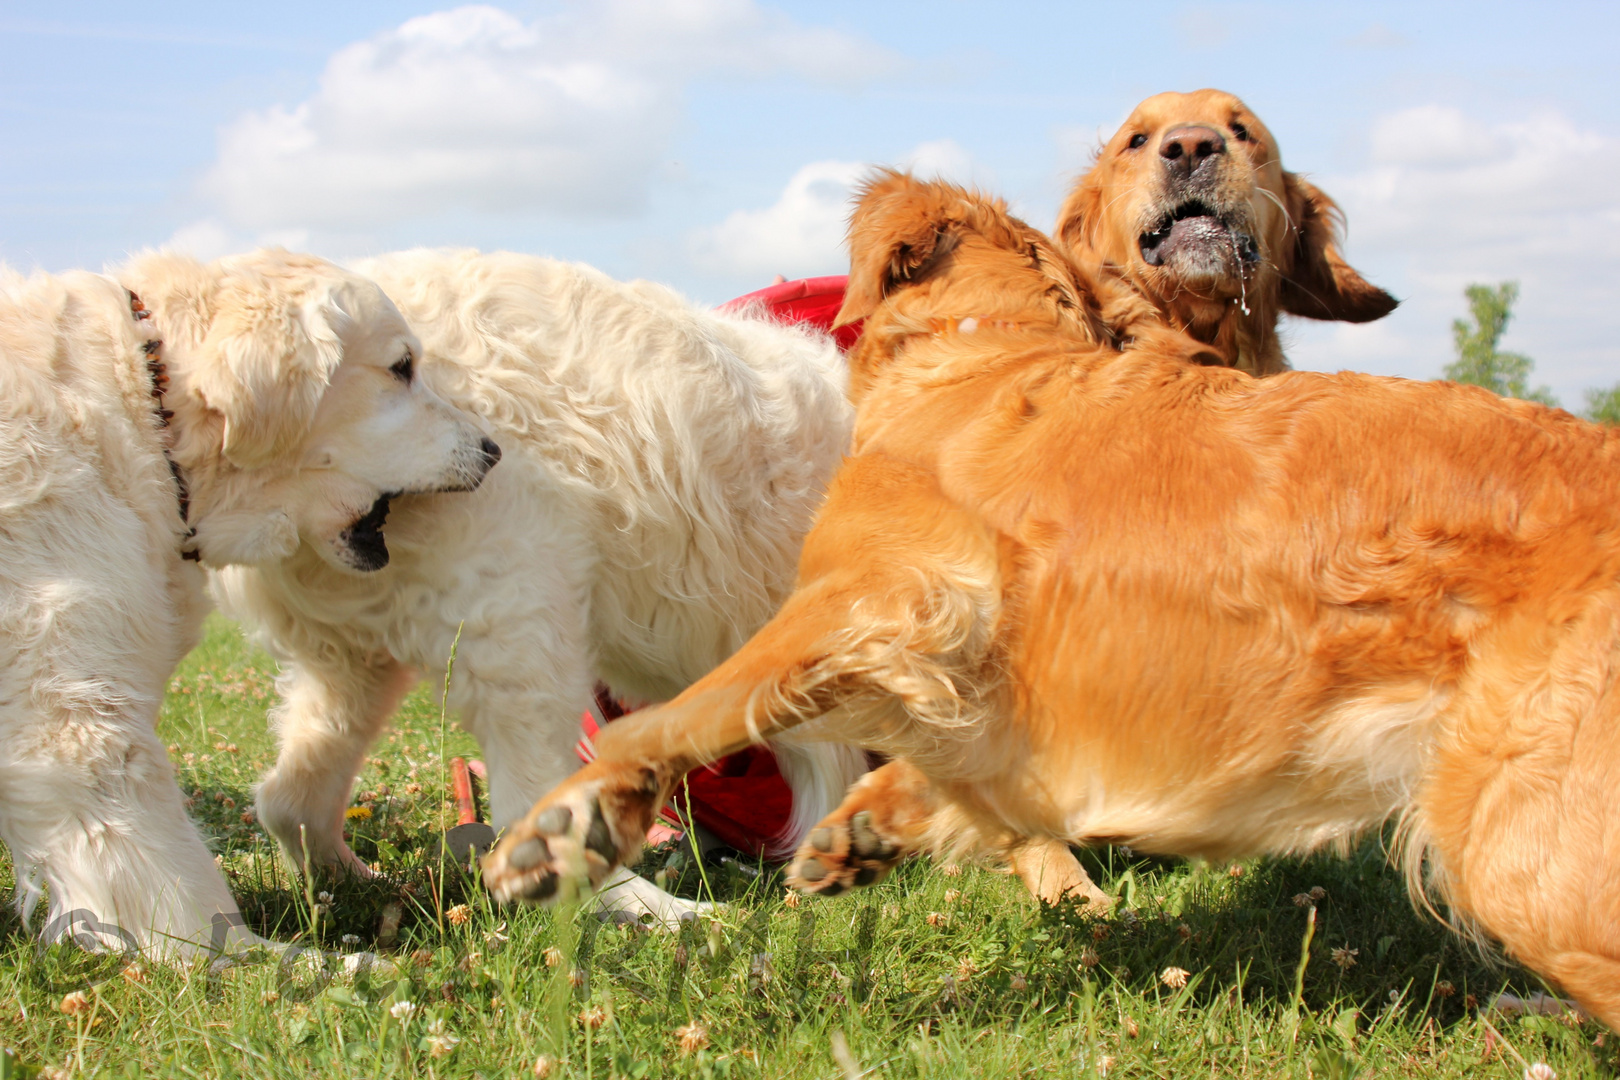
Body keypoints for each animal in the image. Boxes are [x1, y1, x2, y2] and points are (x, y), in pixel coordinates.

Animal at [0, 250, 492, 952]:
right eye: (401, 367)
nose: (493, 450)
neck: (148, 411)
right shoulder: (75, 722)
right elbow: (177, 883)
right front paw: (279, 961)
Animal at [223, 250, 874, 919]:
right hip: (520, 613)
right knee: (533, 814)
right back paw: (667, 913)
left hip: (353, 659)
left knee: (289, 799)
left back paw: (352, 882)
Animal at [486, 173, 1620, 1029]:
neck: (995, 353)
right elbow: (966, 770)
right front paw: (879, 825)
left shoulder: (868, 590)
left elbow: (686, 710)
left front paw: (571, 824)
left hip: (1516, 845)